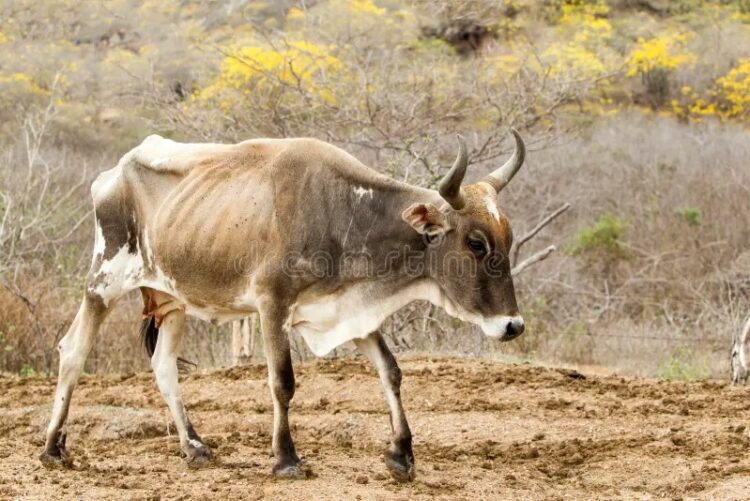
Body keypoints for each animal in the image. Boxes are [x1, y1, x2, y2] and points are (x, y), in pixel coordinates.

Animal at [40, 130, 527, 480]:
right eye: (476, 243)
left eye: (507, 238)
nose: (513, 326)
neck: (342, 209)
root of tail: (113, 173)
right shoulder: (271, 304)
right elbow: (283, 382)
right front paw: (286, 458)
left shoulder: (351, 311)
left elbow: (390, 371)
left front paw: (402, 454)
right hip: (103, 282)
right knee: (73, 351)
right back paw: (53, 448)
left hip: (172, 301)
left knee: (163, 367)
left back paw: (194, 447)